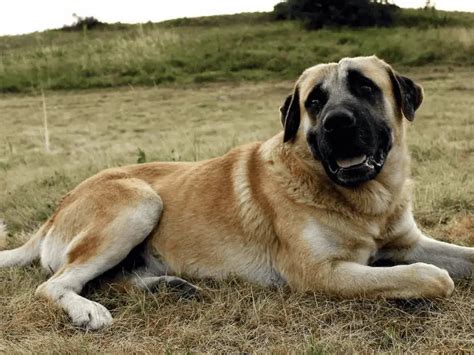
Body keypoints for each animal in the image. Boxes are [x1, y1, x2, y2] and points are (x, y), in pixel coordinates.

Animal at [0, 56, 474, 330]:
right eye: (314, 101)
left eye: (365, 87)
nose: (336, 123)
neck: (365, 203)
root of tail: (54, 211)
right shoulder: (320, 274)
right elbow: (433, 276)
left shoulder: (408, 241)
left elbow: (458, 258)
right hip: (141, 202)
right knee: (54, 285)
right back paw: (88, 311)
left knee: (107, 279)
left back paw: (167, 287)